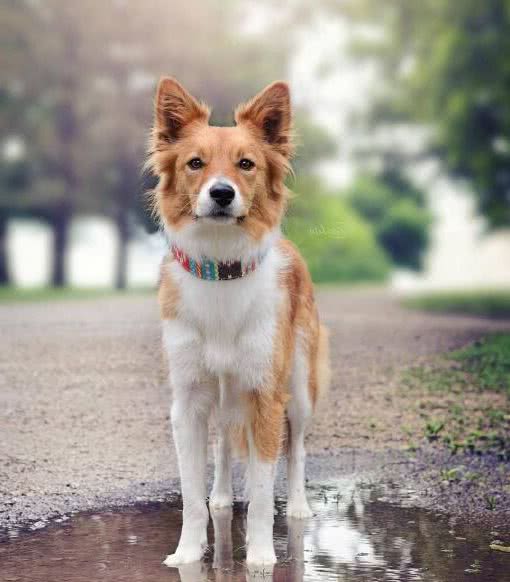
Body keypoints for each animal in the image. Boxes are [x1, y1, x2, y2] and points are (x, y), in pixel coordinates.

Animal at [147, 77, 330, 572]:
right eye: (195, 163)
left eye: (246, 164)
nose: (222, 193)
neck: (221, 266)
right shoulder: (188, 402)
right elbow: (190, 495)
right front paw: (188, 553)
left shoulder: (266, 395)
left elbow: (265, 491)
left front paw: (262, 557)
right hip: (224, 393)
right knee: (225, 444)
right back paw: (222, 498)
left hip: (300, 385)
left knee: (297, 449)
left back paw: (299, 506)